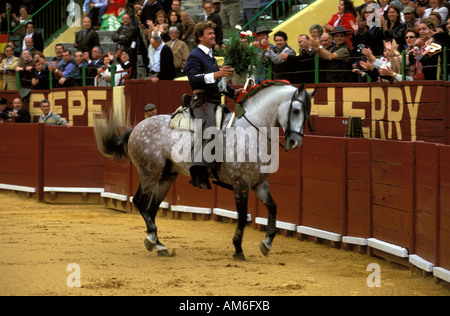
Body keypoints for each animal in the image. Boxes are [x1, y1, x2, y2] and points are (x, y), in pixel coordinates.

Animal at [93, 82, 314, 260]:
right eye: (296, 110)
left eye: (307, 112)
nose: (295, 142)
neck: (252, 130)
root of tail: (137, 127)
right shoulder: (240, 183)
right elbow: (243, 215)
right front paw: (238, 249)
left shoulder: (260, 184)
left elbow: (273, 208)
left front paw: (266, 244)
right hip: (150, 172)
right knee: (139, 201)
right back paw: (154, 239)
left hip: (166, 176)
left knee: (151, 207)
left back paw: (158, 244)